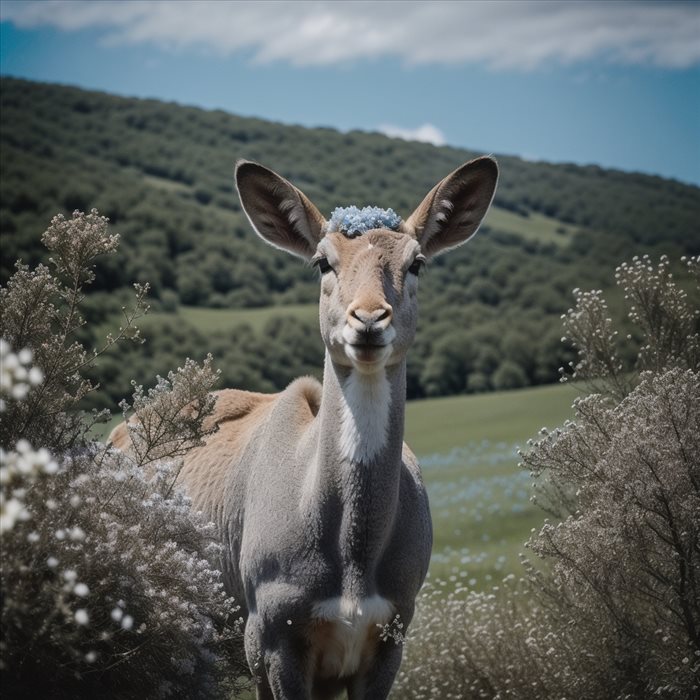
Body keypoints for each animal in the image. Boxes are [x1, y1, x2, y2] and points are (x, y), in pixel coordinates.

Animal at [112, 156, 498, 696]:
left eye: (416, 262)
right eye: (323, 261)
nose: (369, 320)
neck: (354, 560)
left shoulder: (394, 629)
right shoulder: (272, 633)